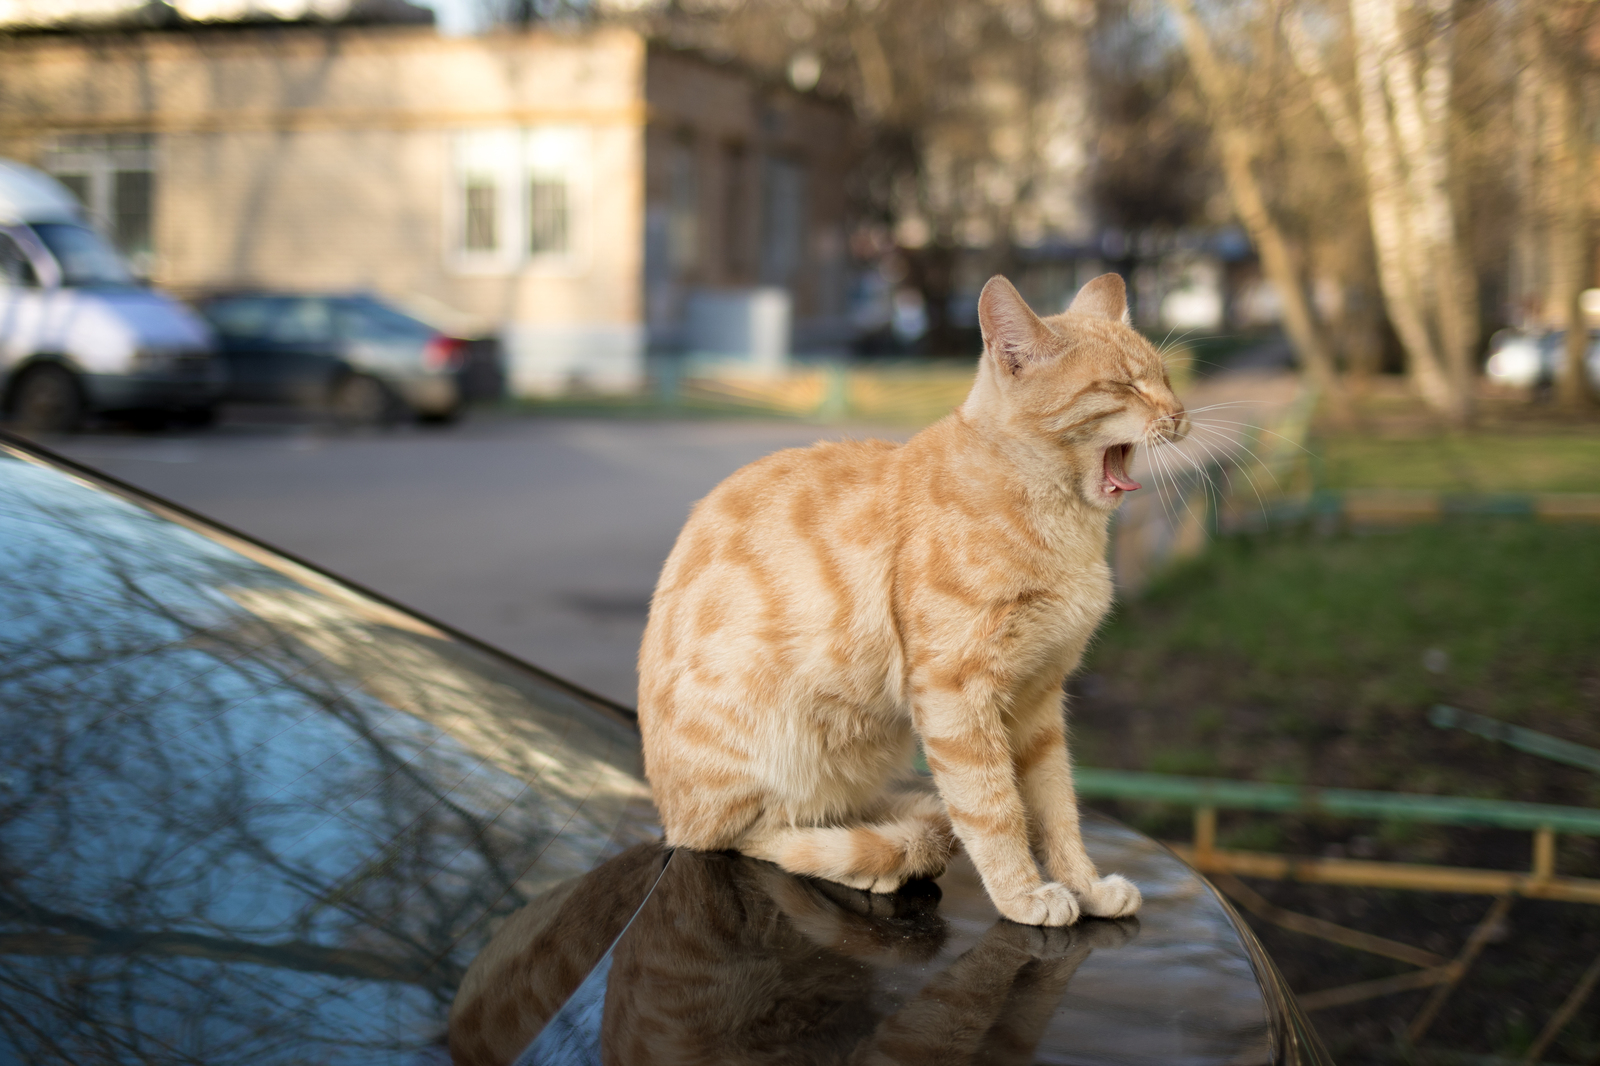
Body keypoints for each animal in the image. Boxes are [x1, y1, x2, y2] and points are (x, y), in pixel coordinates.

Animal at [636, 272, 1190, 921]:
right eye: (1121, 385)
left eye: (1166, 376)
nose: (1180, 415)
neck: (1062, 526)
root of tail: (668, 812)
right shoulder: (955, 693)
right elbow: (993, 807)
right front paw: (1022, 895)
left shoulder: (1038, 700)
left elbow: (1057, 809)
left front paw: (1086, 885)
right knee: (752, 835)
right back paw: (872, 859)